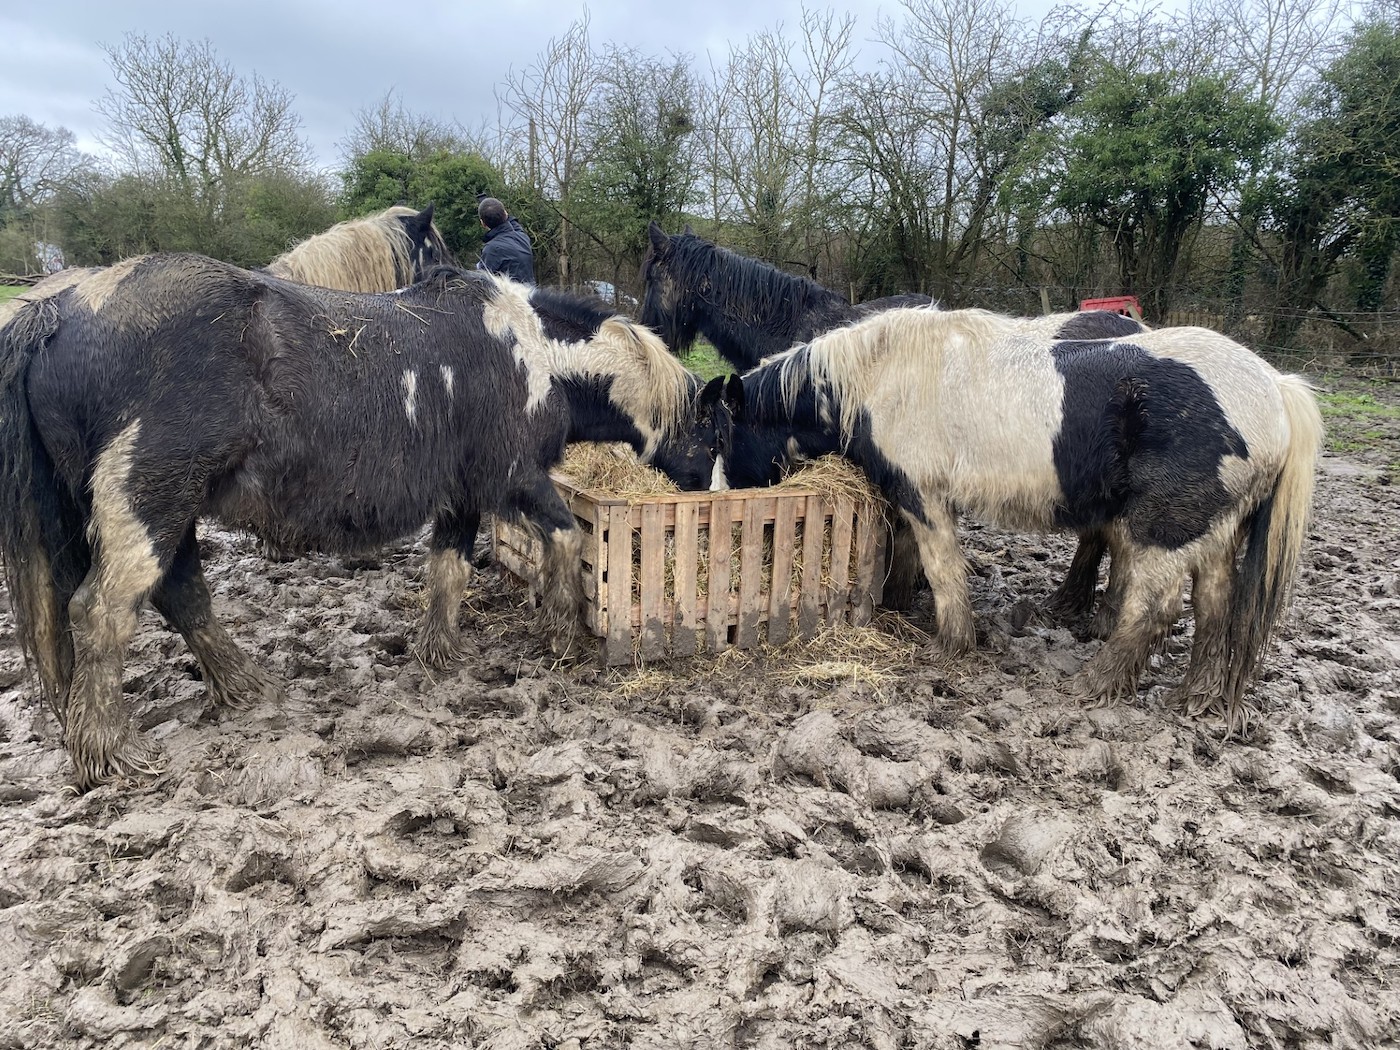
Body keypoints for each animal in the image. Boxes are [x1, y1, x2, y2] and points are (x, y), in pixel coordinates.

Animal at [0, 256, 713, 790]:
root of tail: (57, 312)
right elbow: (565, 536)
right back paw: (109, 753)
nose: (712, 499)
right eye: (717, 428)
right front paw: (561, 632)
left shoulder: (460, 496)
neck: (535, 356)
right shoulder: (515, 480)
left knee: (180, 595)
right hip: (151, 500)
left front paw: (439, 654)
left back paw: (245, 688)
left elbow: (448, 571)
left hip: (163, 511)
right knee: (102, 611)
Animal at [698, 307, 1323, 731]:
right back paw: (1195, 697)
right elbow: (909, 555)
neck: (881, 379)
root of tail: (1275, 388)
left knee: (1156, 607)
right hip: (1214, 530)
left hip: (1166, 529)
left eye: (722, 437)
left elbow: (944, 571)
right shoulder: (909, 497)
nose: (723, 507)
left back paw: (1095, 684)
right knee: (1215, 605)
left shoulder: (924, 496)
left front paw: (951, 646)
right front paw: (899, 606)